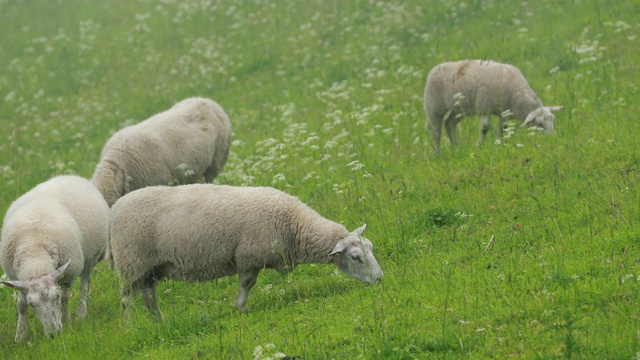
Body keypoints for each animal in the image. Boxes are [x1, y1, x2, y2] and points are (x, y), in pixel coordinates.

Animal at [0, 176, 110, 342]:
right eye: (33, 304)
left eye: (55, 297)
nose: (54, 334)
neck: (35, 253)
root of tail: (69, 176)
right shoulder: (17, 278)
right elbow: (21, 305)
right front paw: (21, 335)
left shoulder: (68, 274)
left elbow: (65, 298)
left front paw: (67, 322)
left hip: (91, 258)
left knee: (85, 282)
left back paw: (81, 312)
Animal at [107, 184, 382, 320]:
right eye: (355, 257)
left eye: (370, 247)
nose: (380, 279)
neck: (295, 224)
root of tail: (115, 208)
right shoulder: (249, 256)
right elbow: (246, 284)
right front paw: (241, 308)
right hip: (132, 263)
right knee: (126, 300)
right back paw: (130, 326)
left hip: (149, 269)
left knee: (148, 297)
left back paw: (159, 323)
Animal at [422, 59, 564, 155]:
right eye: (539, 124)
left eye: (552, 120)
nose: (553, 139)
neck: (515, 93)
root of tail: (436, 68)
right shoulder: (484, 107)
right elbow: (485, 128)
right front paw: (479, 146)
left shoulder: (503, 112)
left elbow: (502, 129)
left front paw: (498, 145)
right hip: (433, 107)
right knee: (436, 132)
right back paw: (437, 153)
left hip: (460, 109)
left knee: (449, 122)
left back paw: (455, 146)